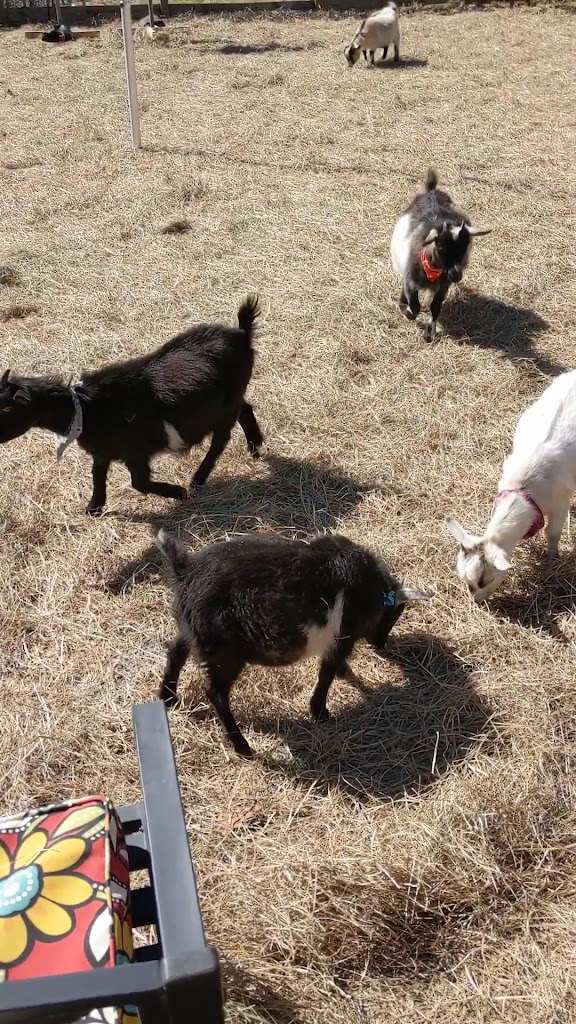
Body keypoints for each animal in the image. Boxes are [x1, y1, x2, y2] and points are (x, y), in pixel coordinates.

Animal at [0, 296, 263, 516]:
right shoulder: (103, 451)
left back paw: (198, 479)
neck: (86, 410)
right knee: (245, 410)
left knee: (221, 439)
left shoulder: (136, 451)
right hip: (229, 400)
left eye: (7, 409)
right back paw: (255, 448)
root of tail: (242, 333)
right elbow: (97, 476)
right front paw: (93, 508)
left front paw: (178, 493)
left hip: (227, 404)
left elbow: (139, 483)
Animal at [156, 529, 432, 758]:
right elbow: (327, 672)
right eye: (394, 615)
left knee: (175, 653)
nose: (381, 644)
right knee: (216, 693)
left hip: (191, 629)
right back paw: (243, 747)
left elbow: (336, 668)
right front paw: (321, 713)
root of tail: (185, 570)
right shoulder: (343, 635)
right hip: (224, 652)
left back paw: (168, 699)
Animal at [390, 169, 491, 343]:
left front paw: (430, 333)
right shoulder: (411, 280)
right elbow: (414, 307)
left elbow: (435, 307)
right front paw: (407, 312)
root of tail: (431, 190)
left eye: (466, 246)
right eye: (440, 246)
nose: (456, 274)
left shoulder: (443, 287)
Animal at [446, 370, 576, 602]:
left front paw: (551, 559)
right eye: (466, 580)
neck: (526, 487)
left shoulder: (561, 501)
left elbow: (552, 532)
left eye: (486, 580)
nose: (476, 601)